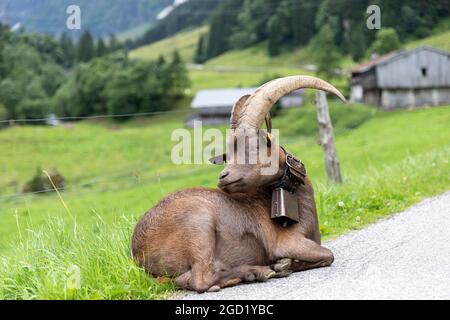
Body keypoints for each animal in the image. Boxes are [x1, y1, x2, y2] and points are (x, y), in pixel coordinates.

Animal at [132, 75, 346, 292]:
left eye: (255, 146)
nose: (224, 176)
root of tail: (139, 252)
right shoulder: (286, 242)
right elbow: (328, 254)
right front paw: (282, 264)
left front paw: (284, 265)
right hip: (199, 225)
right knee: (201, 279)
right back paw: (256, 272)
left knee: (184, 280)